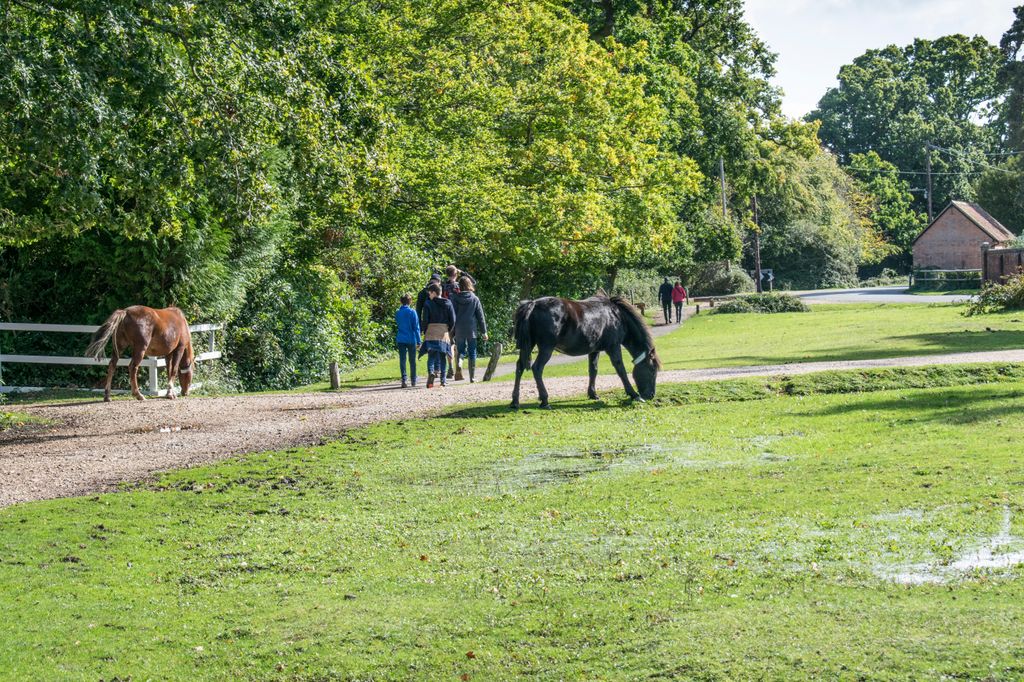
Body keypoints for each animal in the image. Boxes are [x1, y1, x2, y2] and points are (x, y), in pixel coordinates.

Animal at [511, 294, 661, 409]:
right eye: (652, 370)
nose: (651, 395)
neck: (616, 316)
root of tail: (533, 304)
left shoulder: (594, 351)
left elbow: (593, 370)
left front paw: (592, 394)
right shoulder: (613, 347)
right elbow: (621, 370)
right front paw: (634, 394)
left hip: (528, 345)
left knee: (520, 367)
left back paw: (515, 401)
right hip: (546, 348)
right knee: (537, 368)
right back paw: (545, 400)